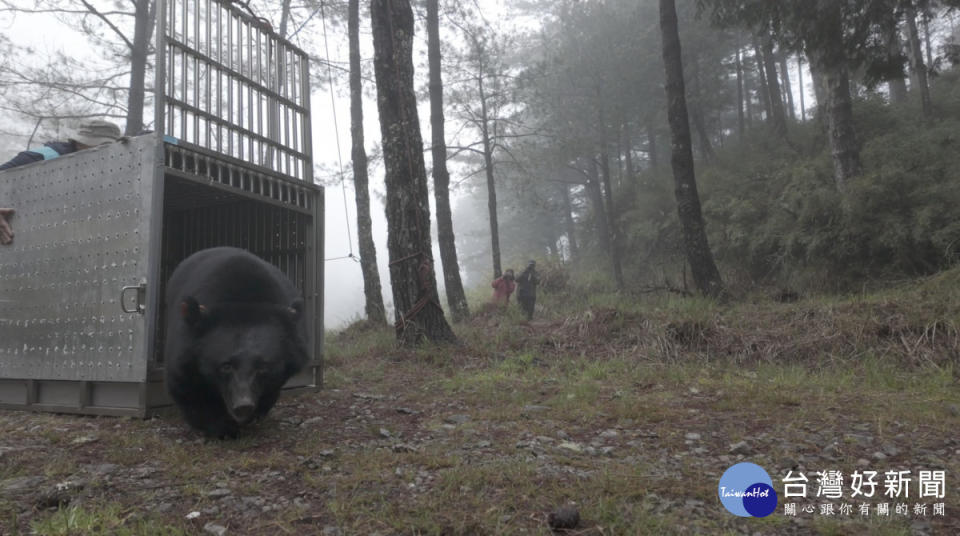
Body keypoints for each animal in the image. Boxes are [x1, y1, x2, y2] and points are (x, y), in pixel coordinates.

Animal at [163, 246, 310, 436]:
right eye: (226, 366)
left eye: (262, 367)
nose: (243, 406)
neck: (243, 301)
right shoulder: (185, 346)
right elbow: (185, 384)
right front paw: (222, 428)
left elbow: (273, 386)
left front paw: (253, 416)